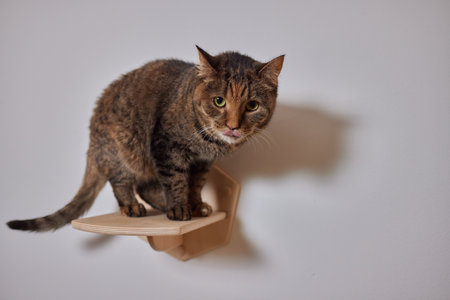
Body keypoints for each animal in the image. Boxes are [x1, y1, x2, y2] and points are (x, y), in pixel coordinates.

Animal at [7, 45, 284, 231]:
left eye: (252, 105)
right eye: (219, 101)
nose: (233, 126)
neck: (208, 144)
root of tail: (92, 139)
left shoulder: (203, 163)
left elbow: (195, 185)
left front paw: (195, 205)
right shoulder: (167, 147)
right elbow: (176, 181)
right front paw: (179, 208)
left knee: (145, 186)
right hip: (124, 149)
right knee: (122, 182)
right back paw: (133, 206)